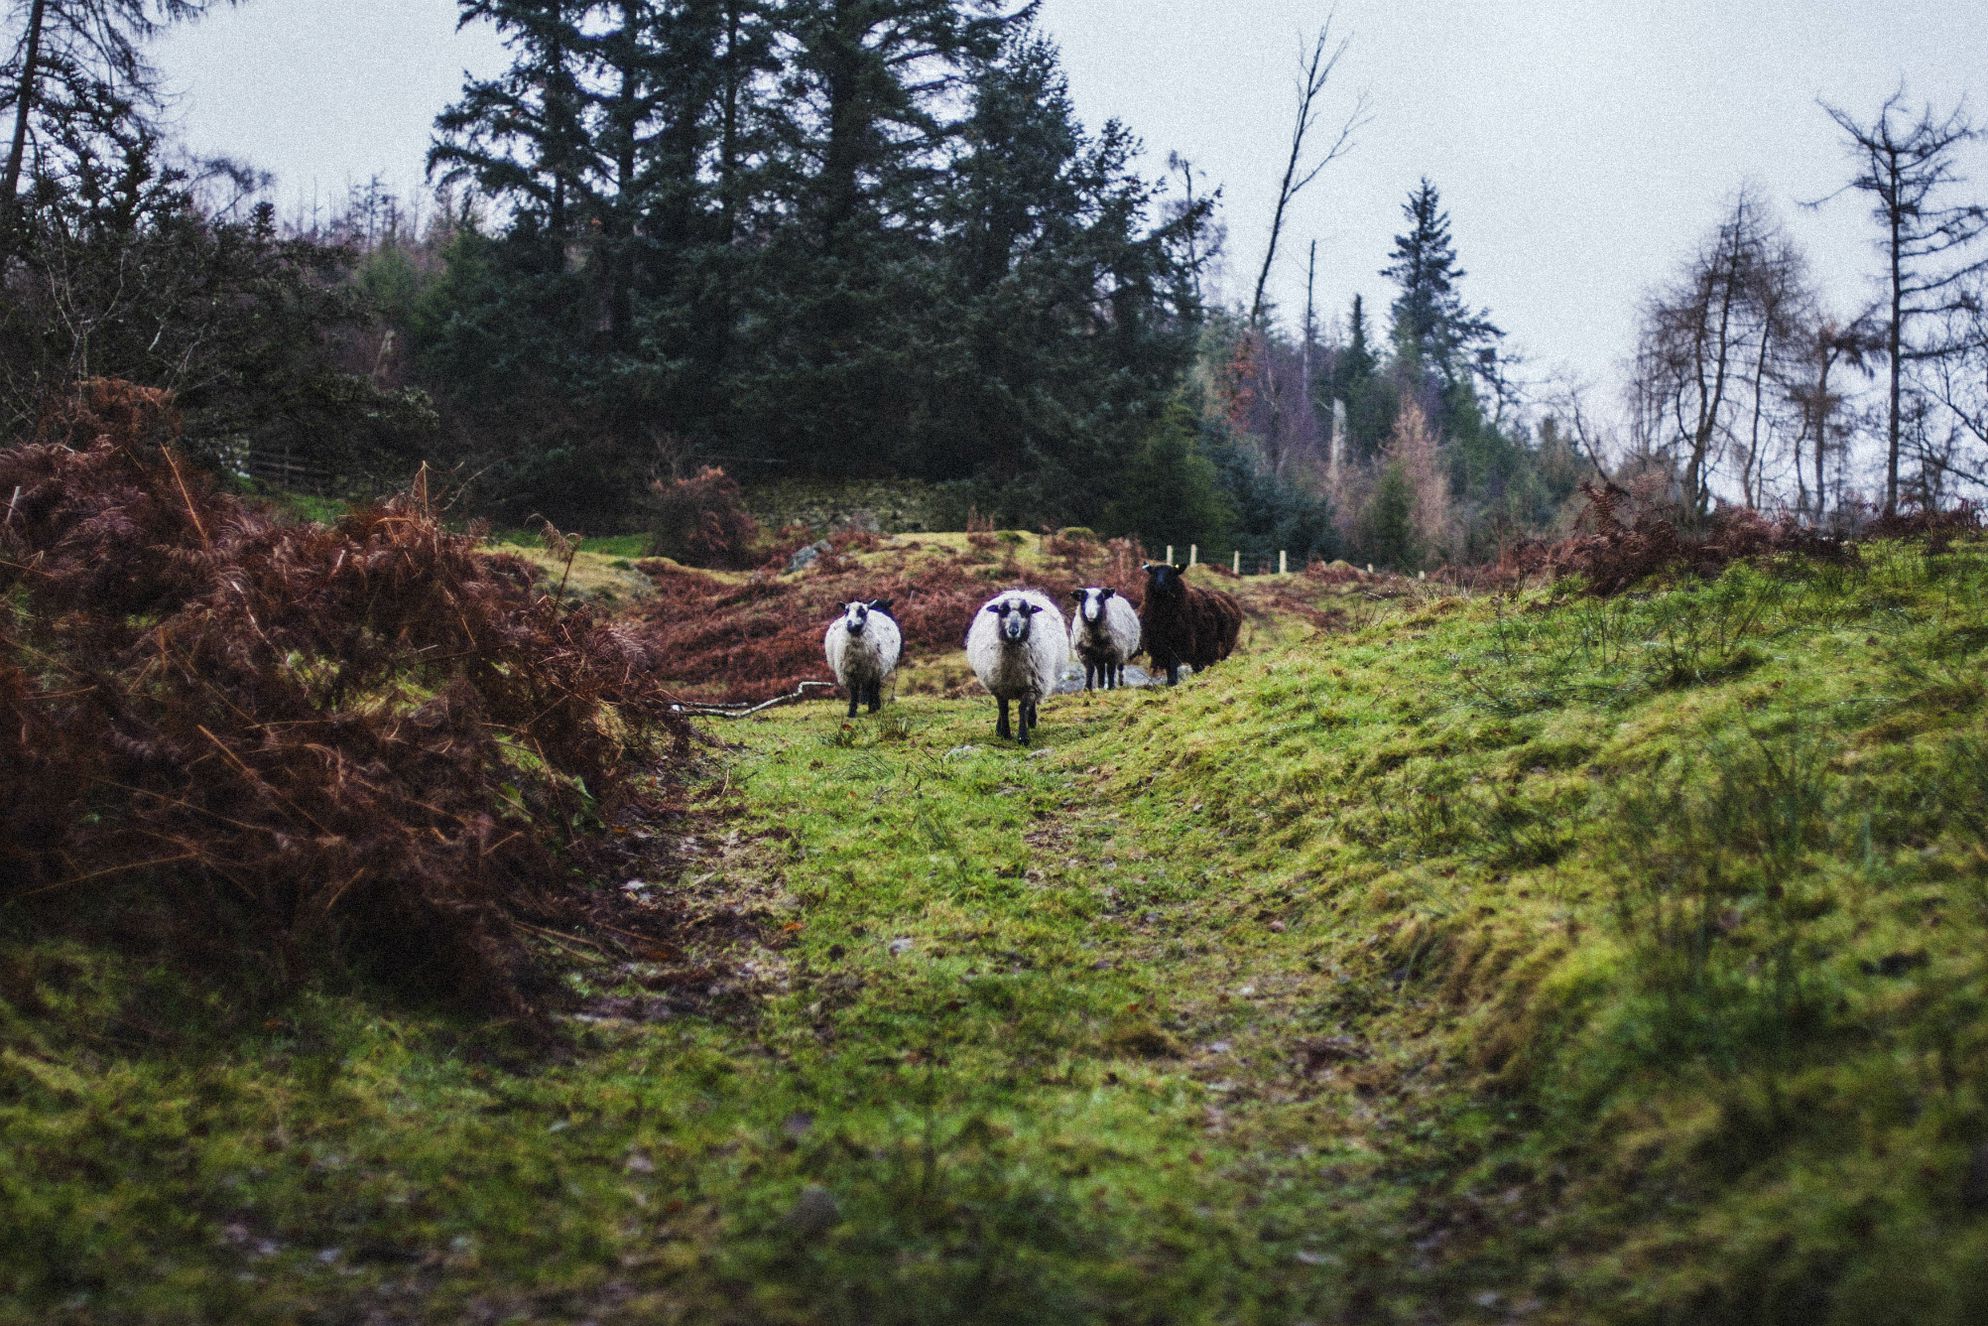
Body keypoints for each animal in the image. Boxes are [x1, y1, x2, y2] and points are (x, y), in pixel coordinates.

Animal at [966, 592, 1073, 747]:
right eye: (1002, 611)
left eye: (1026, 611)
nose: (1013, 630)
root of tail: (1022, 591)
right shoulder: (999, 687)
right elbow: (1003, 709)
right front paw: (1005, 734)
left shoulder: (1032, 686)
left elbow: (1023, 708)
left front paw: (1023, 737)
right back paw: (999, 729)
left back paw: (1032, 721)